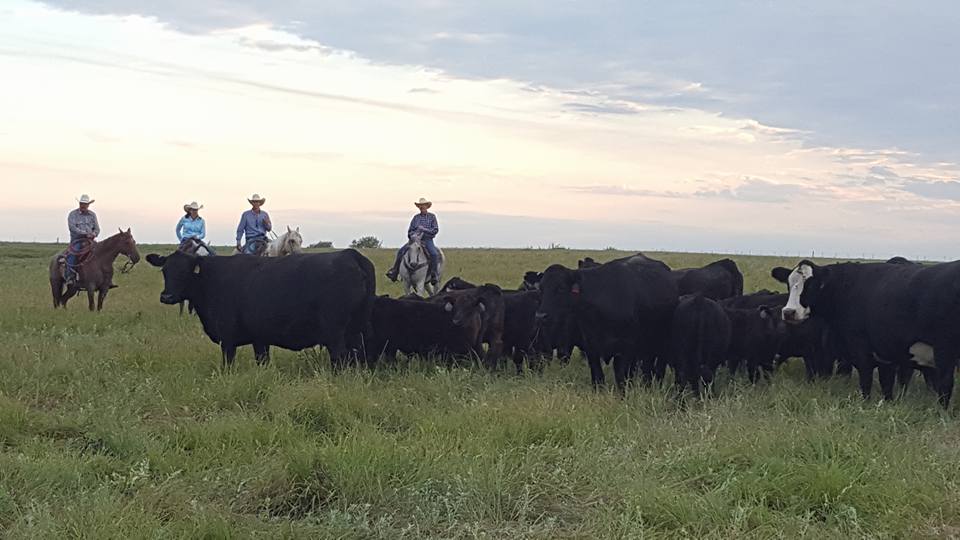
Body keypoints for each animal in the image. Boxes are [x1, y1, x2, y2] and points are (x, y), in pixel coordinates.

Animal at [146, 249, 376, 368]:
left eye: (185, 272)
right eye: (165, 271)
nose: (166, 296)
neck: (210, 280)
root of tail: (350, 254)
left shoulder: (227, 337)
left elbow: (227, 363)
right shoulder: (259, 338)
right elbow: (262, 360)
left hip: (335, 331)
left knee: (340, 357)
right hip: (356, 329)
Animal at [536, 251, 680, 390]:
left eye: (560, 288)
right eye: (541, 289)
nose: (540, 316)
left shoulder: (625, 348)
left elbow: (621, 377)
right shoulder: (591, 347)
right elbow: (597, 376)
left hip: (659, 343)